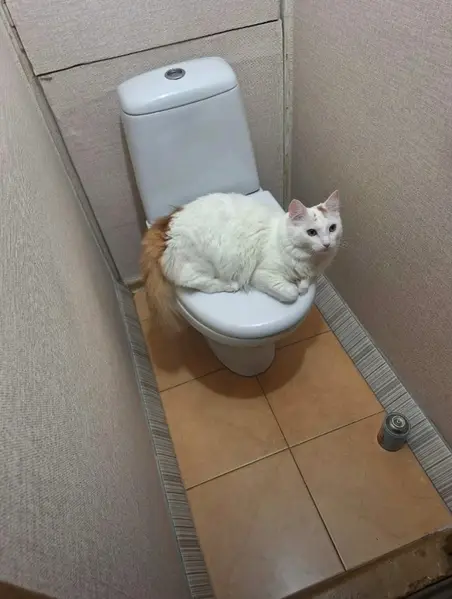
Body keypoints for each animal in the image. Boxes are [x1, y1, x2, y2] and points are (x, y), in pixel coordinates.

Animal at [141, 190, 342, 328]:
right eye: (311, 232)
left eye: (332, 228)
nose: (327, 244)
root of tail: (166, 223)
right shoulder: (261, 274)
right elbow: (291, 293)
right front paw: (295, 288)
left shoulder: (313, 273)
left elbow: (306, 283)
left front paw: (302, 284)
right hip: (199, 265)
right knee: (201, 283)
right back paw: (230, 285)